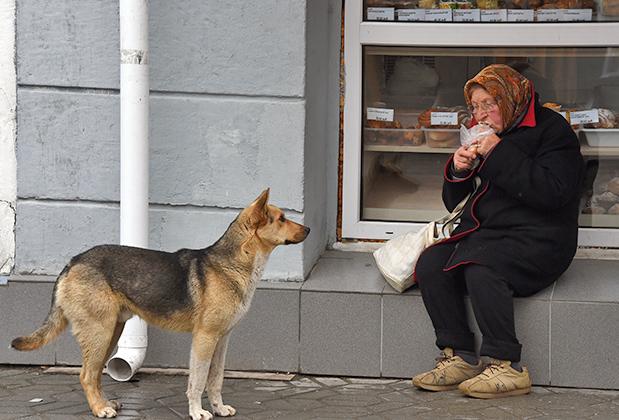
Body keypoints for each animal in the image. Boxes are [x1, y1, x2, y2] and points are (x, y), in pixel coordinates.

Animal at [13, 191, 314, 420]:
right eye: (281, 218)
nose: (309, 229)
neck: (233, 264)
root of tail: (72, 262)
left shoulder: (222, 339)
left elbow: (215, 379)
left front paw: (218, 408)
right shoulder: (204, 338)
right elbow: (198, 381)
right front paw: (197, 412)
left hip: (111, 333)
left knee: (96, 374)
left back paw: (107, 403)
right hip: (100, 332)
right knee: (87, 375)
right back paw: (100, 410)